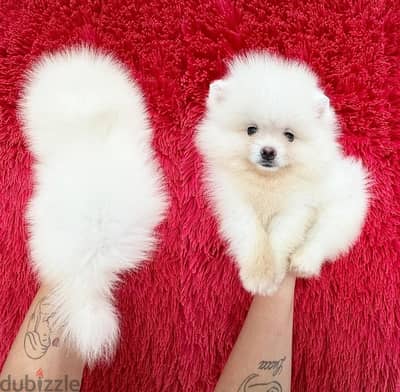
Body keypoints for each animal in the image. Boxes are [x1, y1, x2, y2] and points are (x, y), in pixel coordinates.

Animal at [196, 52, 368, 298]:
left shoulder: (296, 208)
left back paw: (304, 262)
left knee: (325, 235)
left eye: (289, 136)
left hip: (344, 205)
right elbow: (252, 235)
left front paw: (272, 273)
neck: (268, 180)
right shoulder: (236, 204)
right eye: (251, 130)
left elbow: (280, 238)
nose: (268, 151)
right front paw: (258, 275)